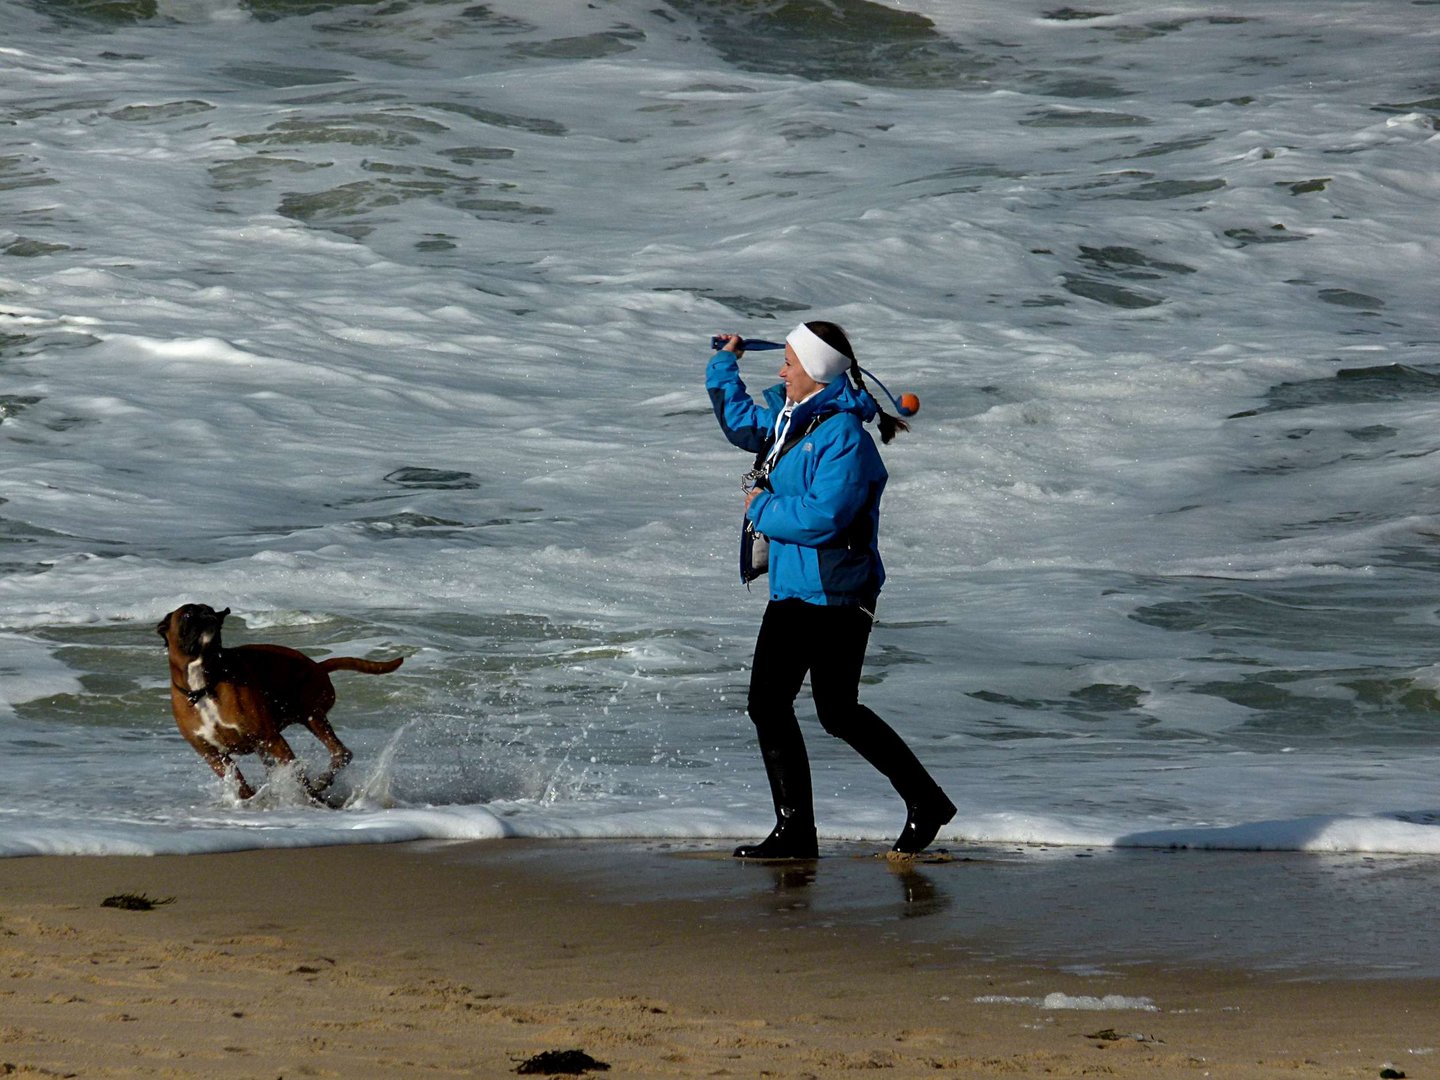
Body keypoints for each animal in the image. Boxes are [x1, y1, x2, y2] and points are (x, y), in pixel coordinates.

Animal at [159, 604, 406, 800]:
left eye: (208, 609)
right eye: (188, 614)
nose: (207, 614)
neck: (203, 687)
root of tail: (318, 666)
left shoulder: (272, 739)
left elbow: (298, 776)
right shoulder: (214, 757)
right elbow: (241, 785)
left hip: (311, 717)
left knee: (340, 753)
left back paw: (321, 783)